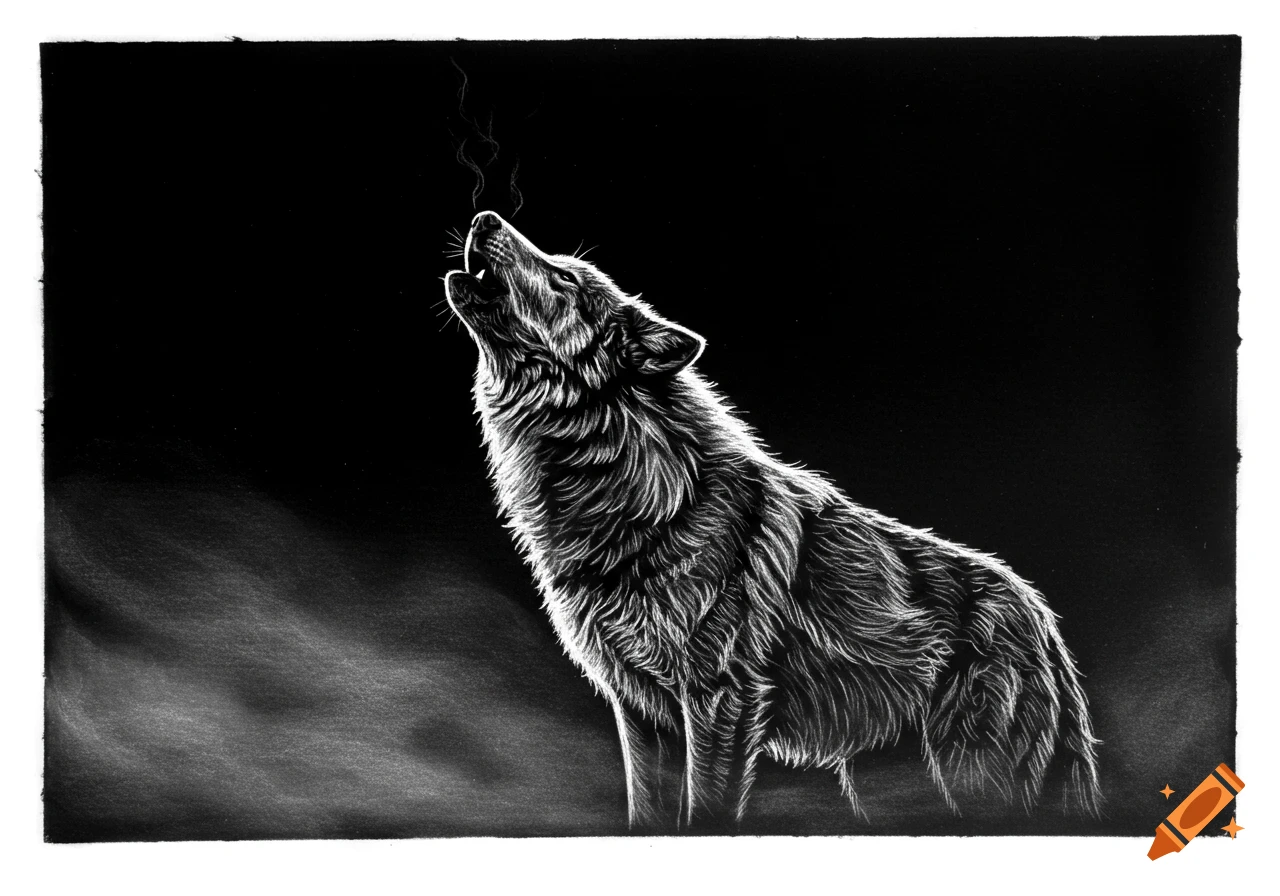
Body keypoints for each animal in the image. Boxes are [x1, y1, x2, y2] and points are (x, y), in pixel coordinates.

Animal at [444, 210, 1102, 828]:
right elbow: (647, 811)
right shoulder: (641, 716)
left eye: (565, 279)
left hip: (973, 776)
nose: (483, 218)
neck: (643, 494)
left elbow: (706, 811)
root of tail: (1046, 625)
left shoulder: (719, 701)